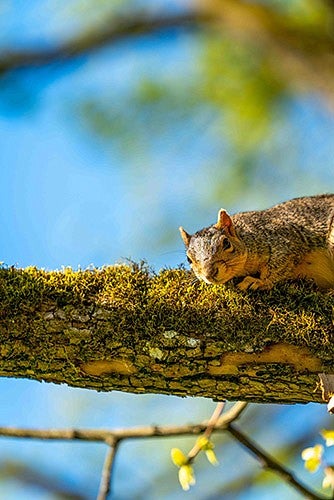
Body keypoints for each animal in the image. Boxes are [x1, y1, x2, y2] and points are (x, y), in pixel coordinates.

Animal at [180, 194, 334, 292]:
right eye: (188, 259)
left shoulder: (286, 241)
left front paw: (258, 281)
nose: (209, 273)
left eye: (226, 243)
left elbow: (279, 266)